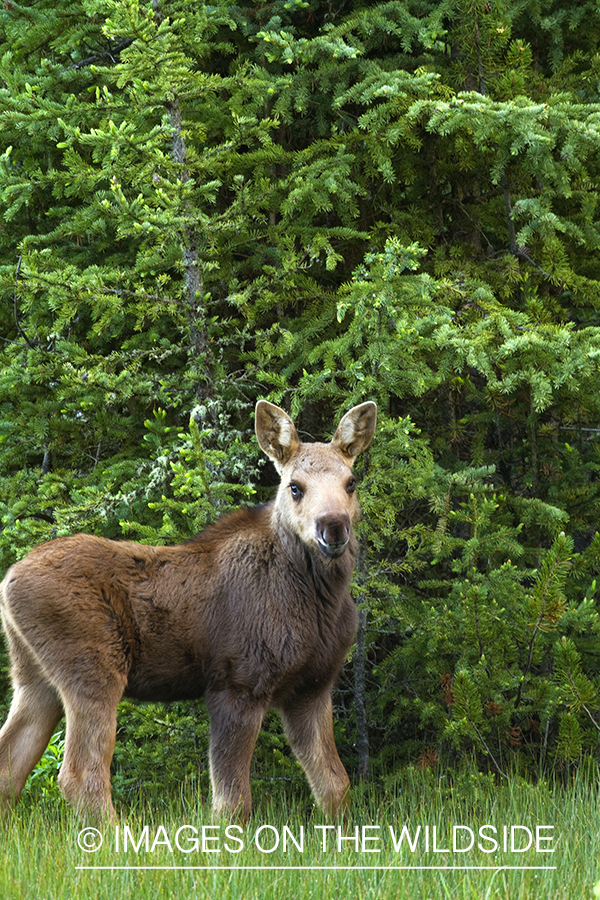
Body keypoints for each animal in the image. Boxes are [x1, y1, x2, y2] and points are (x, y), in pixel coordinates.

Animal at [0, 399, 377, 821]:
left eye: (351, 482)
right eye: (295, 487)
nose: (333, 526)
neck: (319, 599)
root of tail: (8, 580)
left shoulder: (312, 687)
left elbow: (334, 784)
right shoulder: (237, 682)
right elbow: (232, 800)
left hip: (33, 677)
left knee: (9, 765)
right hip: (93, 668)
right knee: (79, 774)